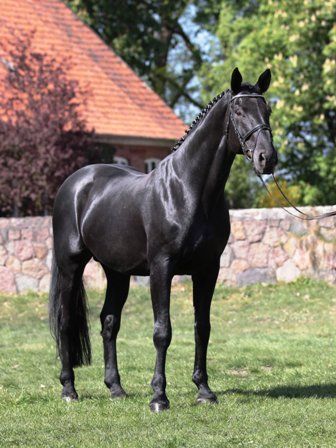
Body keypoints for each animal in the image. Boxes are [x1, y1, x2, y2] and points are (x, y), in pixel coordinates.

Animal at [49, 67, 278, 412]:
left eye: (267, 110)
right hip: (70, 266)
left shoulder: (208, 270)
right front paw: (159, 396)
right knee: (65, 322)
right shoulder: (162, 267)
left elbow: (202, 328)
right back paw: (68, 389)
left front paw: (204, 391)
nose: (268, 158)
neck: (188, 190)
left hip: (117, 273)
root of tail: (74, 183)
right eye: (238, 111)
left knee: (109, 322)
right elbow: (162, 331)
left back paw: (116, 388)